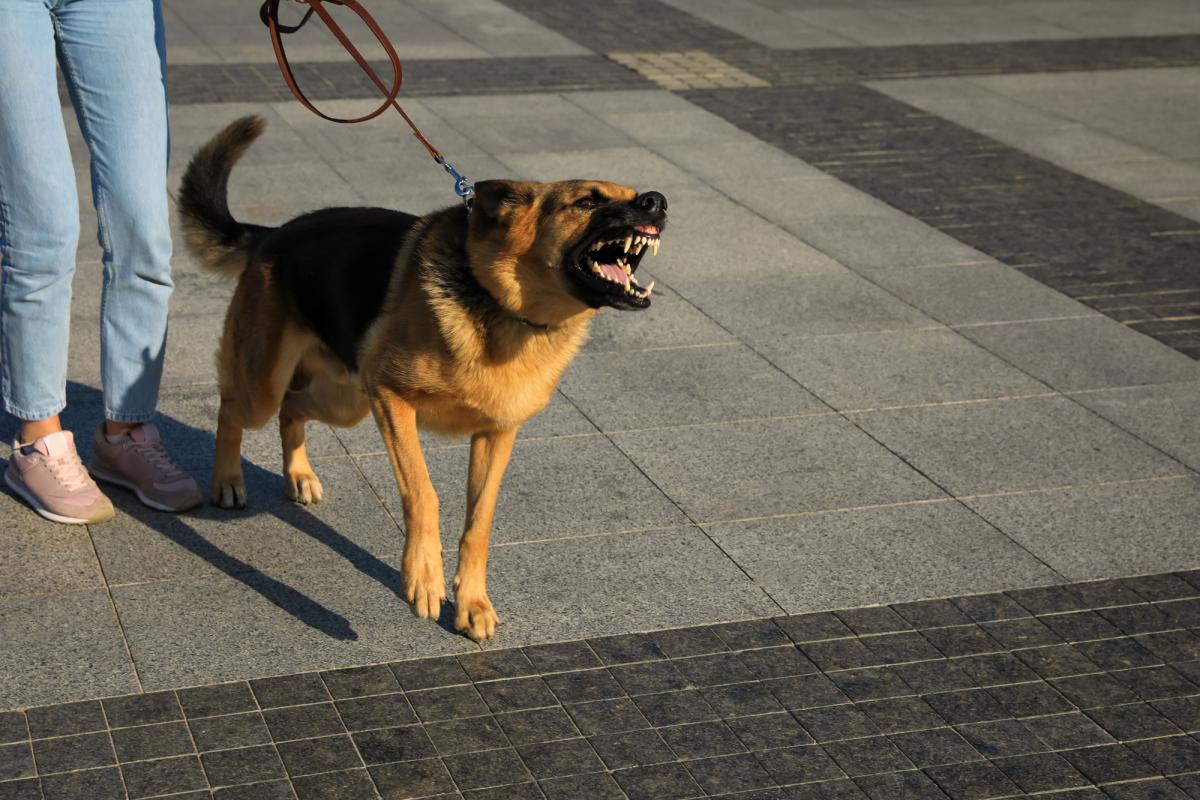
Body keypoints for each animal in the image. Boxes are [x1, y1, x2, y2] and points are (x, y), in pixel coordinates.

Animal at [175, 115, 667, 642]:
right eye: (588, 202)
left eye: (633, 194)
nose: (657, 201)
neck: (499, 303)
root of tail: (272, 235)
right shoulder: (393, 400)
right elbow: (423, 493)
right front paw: (424, 580)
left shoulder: (496, 435)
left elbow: (479, 522)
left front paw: (471, 602)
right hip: (270, 388)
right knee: (233, 409)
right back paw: (227, 480)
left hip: (347, 401)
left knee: (294, 407)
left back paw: (299, 474)